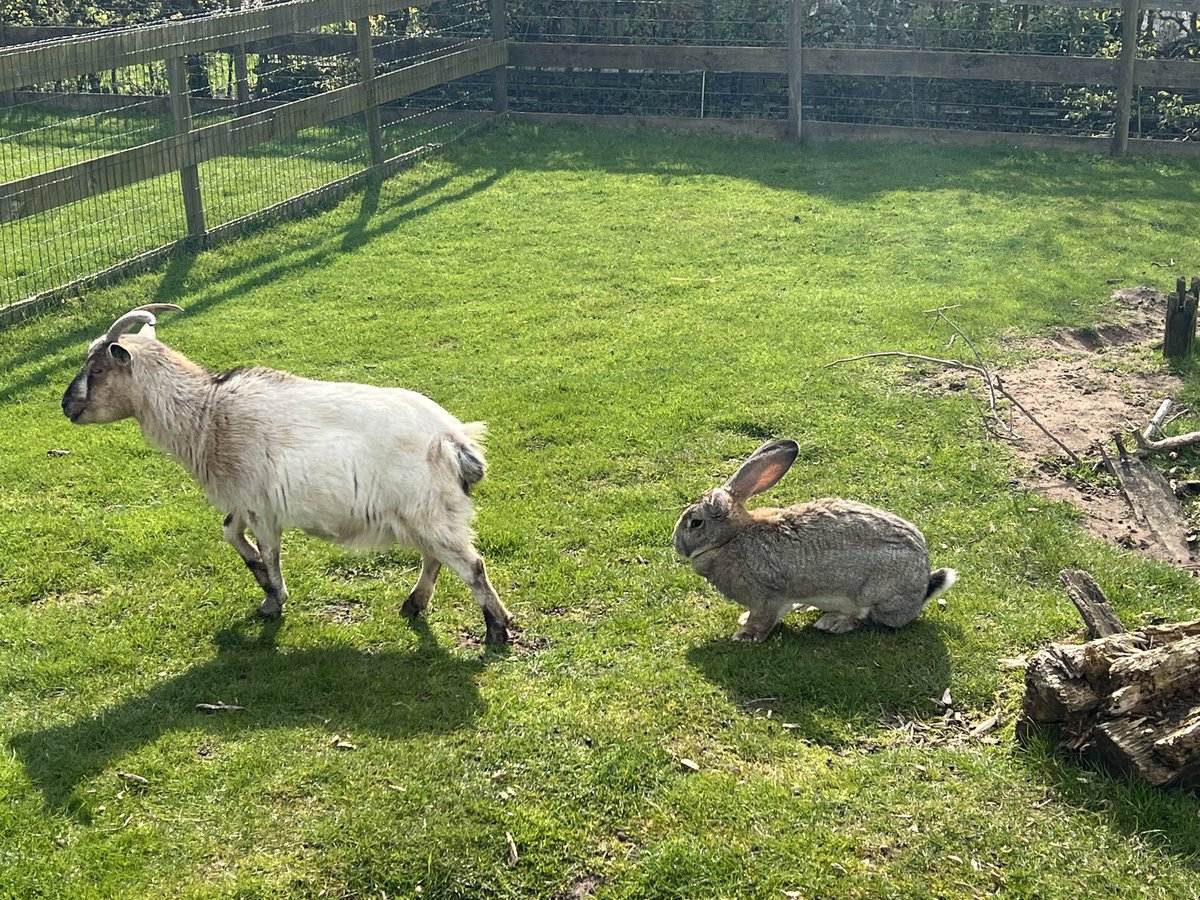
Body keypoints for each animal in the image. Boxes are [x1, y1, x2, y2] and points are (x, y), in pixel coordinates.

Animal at [673, 438, 956, 642]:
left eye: (695, 522)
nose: (676, 544)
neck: (729, 539)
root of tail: (921, 591)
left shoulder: (767, 596)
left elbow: (763, 618)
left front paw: (745, 634)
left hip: (874, 592)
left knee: (867, 618)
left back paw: (832, 622)